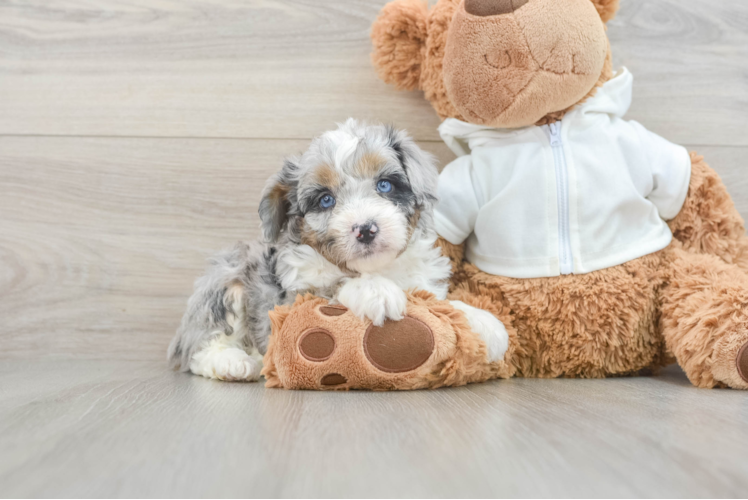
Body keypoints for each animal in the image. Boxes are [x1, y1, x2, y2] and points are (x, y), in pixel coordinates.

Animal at [167, 119, 508, 380]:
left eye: (385, 185)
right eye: (325, 200)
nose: (366, 229)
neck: (377, 268)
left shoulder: (422, 284)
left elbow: (443, 304)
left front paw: (486, 324)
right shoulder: (292, 300)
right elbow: (335, 285)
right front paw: (376, 291)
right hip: (227, 281)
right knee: (200, 345)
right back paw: (233, 362)